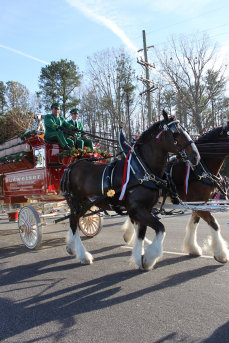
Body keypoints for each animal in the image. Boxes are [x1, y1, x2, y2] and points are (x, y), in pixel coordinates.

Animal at [61, 111, 200, 270]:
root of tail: (71, 166)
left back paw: (71, 248)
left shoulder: (145, 208)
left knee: (73, 220)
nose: (196, 156)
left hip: (84, 204)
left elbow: (141, 233)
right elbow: (160, 228)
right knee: (74, 222)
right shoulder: (136, 208)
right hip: (76, 202)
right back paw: (83, 255)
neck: (141, 170)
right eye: (175, 132)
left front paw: (140, 259)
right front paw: (149, 258)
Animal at [124, 123, 229, 264]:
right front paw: (221, 254)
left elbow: (193, 224)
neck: (198, 169)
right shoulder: (198, 204)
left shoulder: (199, 203)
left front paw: (192, 248)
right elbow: (214, 224)